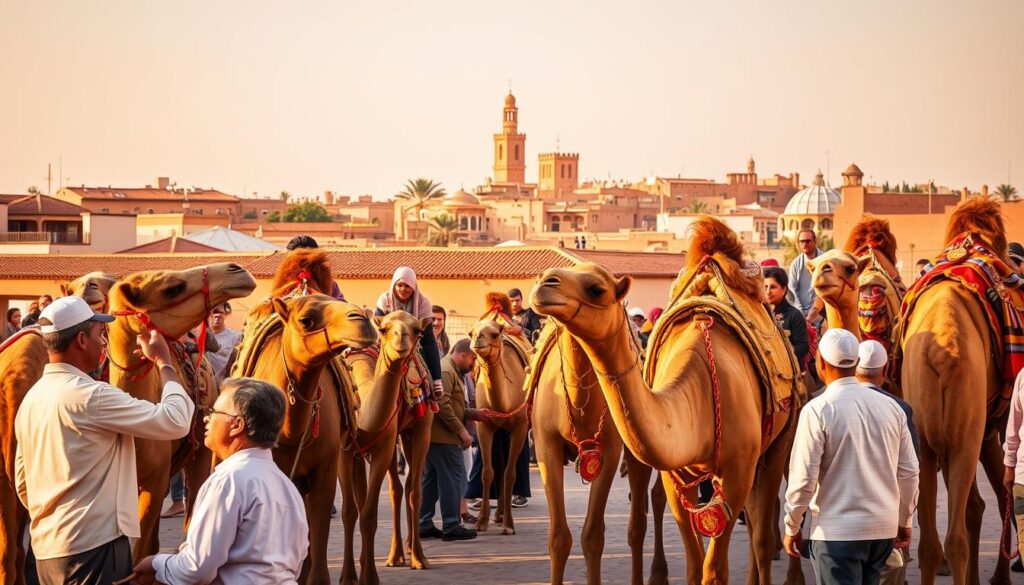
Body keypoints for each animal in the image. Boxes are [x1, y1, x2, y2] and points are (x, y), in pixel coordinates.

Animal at [232, 249, 377, 585]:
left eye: (334, 298)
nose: (363, 320)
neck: (289, 432)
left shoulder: (323, 472)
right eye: (306, 319)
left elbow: (317, 560)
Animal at [338, 311, 433, 585]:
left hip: (418, 429)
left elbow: (369, 515)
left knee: (412, 488)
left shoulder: (384, 447)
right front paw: (349, 575)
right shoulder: (345, 451)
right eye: (383, 329)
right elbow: (351, 511)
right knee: (396, 489)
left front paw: (369, 576)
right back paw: (397, 554)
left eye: (417, 330)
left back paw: (415, 555)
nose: (401, 338)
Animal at [469, 319, 530, 535]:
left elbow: (510, 474)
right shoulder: (484, 426)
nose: (478, 340)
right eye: (471, 333)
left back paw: (503, 515)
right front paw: (481, 522)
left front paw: (509, 526)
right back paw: (498, 514)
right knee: (499, 466)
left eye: (494, 334)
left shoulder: (520, 427)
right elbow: (488, 472)